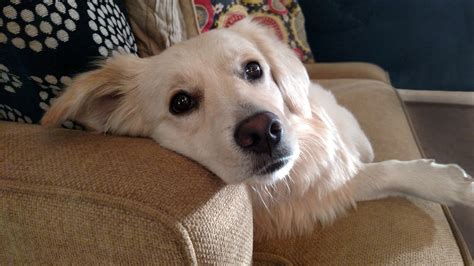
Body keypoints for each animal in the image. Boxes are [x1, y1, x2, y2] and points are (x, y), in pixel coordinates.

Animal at [41, 18, 474, 239]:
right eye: (180, 103)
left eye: (253, 69)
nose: (264, 131)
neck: (277, 192)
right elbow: (381, 172)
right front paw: (450, 183)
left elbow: (376, 166)